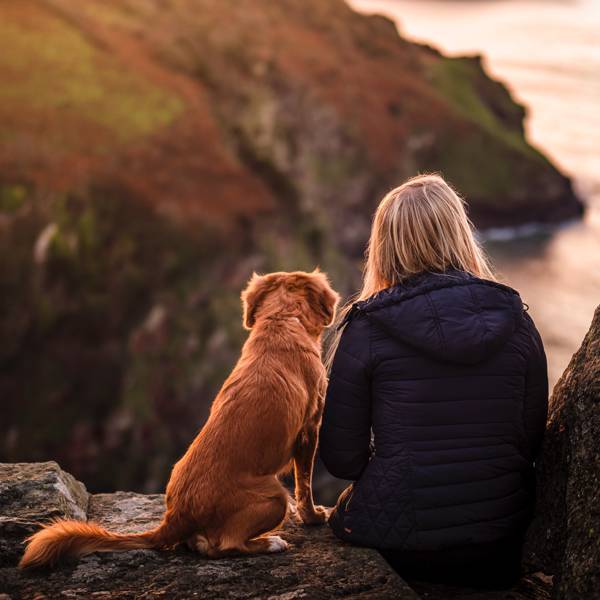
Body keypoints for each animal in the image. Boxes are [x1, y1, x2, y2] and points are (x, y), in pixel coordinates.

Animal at [19, 268, 338, 568]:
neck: (282, 320)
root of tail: (176, 516)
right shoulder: (310, 428)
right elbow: (305, 483)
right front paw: (313, 517)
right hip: (274, 495)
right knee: (225, 545)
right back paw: (269, 543)